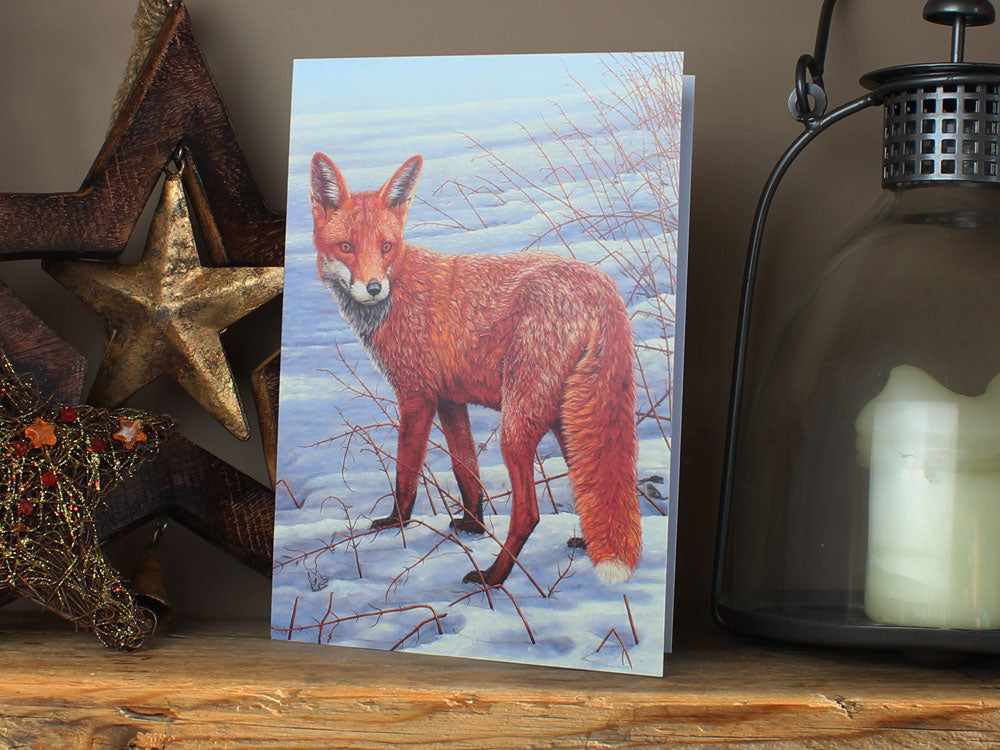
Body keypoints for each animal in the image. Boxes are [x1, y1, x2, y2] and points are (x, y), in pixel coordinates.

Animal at [310, 152, 641, 586]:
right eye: (346, 247)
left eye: (386, 247)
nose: (374, 288)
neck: (399, 287)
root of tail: (602, 287)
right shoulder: (450, 399)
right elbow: (465, 469)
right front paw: (473, 524)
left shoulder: (416, 397)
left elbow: (405, 474)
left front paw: (396, 523)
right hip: (567, 419)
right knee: (592, 484)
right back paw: (587, 544)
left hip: (517, 425)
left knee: (529, 513)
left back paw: (494, 576)